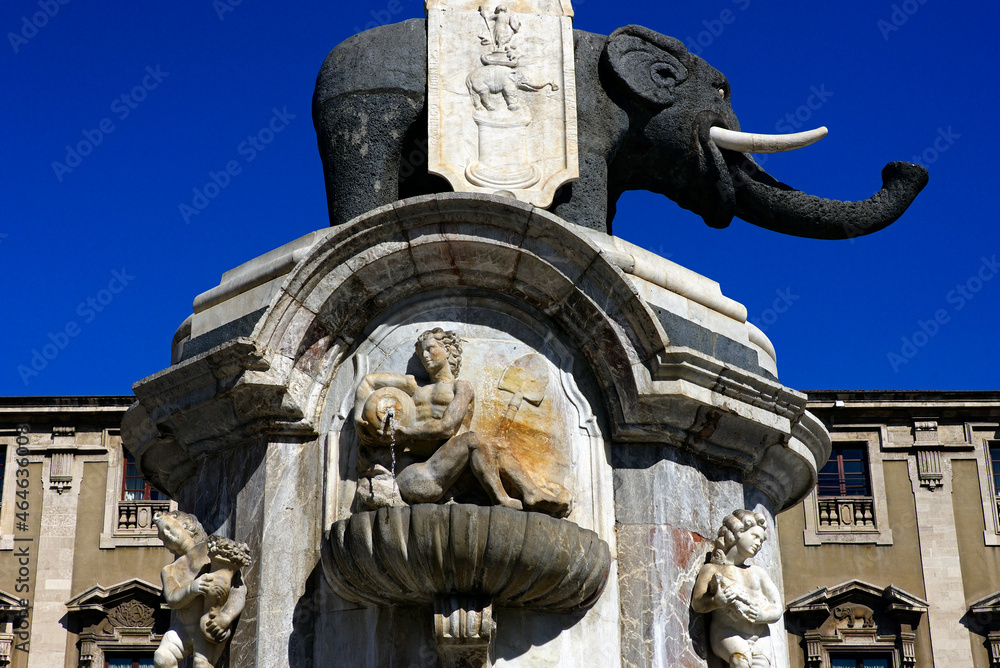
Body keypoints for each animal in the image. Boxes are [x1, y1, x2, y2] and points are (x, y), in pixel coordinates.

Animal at [314, 19, 928, 239]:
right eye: (723, 92)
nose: (905, 167)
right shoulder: (588, 115)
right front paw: (590, 236)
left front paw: (599, 235)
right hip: (362, 100)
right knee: (365, 152)